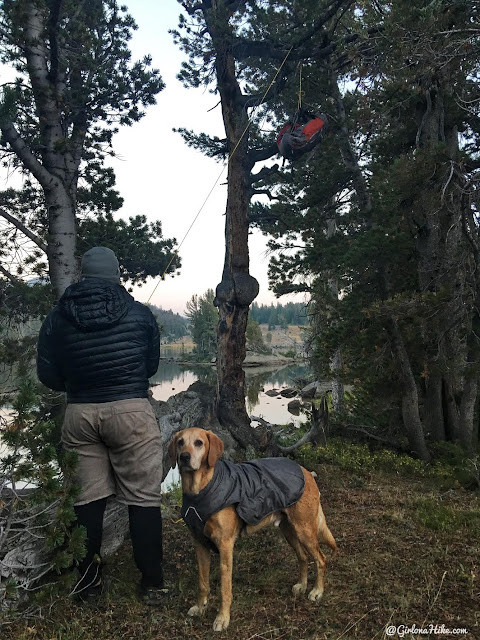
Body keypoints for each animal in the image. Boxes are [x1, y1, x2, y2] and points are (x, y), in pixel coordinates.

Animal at [170, 428, 338, 632]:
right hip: (289, 531)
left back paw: (317, 591)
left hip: (305, 530)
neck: (200, 490)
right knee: (303, 557)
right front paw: (200, 607)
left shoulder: (225, 547)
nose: (184, 457)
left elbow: (225, 589)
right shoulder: (200, 545)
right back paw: (302, 585)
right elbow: (203, 583)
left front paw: (222, 618)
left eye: (199, 443)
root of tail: (305, 471)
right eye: (180, 442)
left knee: (321, 559)